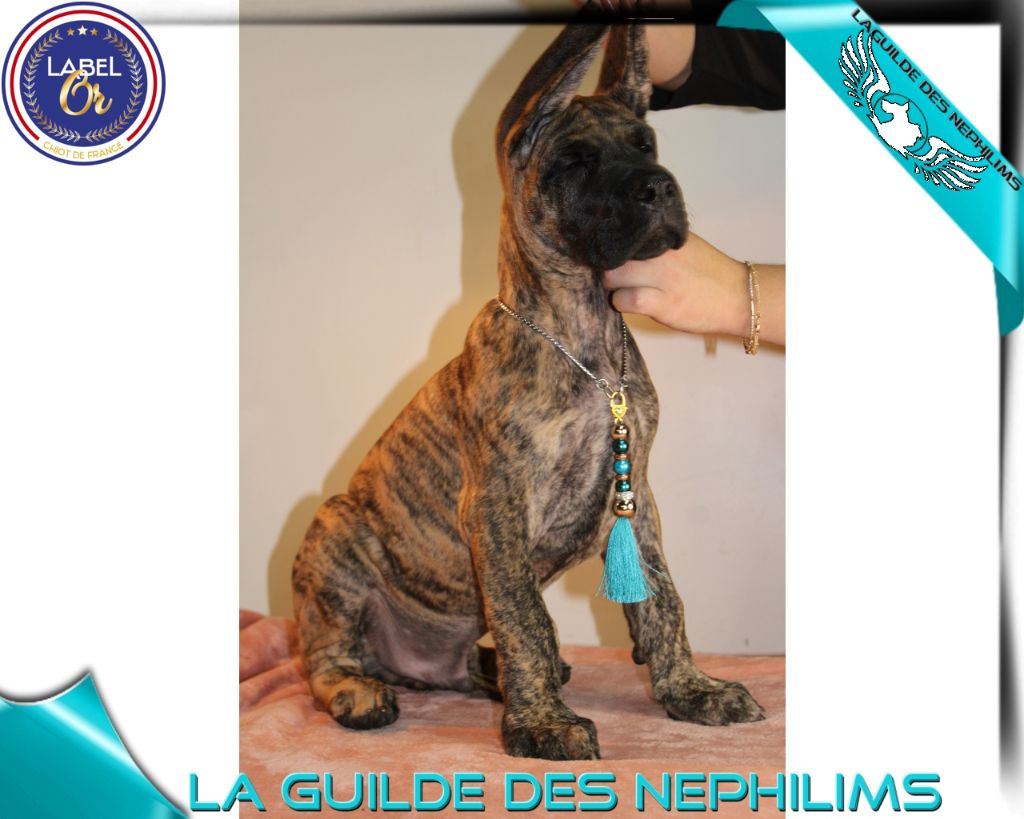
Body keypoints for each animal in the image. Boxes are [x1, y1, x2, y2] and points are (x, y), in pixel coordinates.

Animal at [292, 20, 764, 761]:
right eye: (573, 160)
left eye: (646, 144)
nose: (659, 188)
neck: (585, 336)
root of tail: (406, 664)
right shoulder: (497, 501)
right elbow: (527, 620)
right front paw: (543, 723)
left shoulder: (636, 493)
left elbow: (663, 600)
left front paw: (691, 690)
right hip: (334, 530)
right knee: (322, 654)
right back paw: (358, 690)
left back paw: (487, 676)